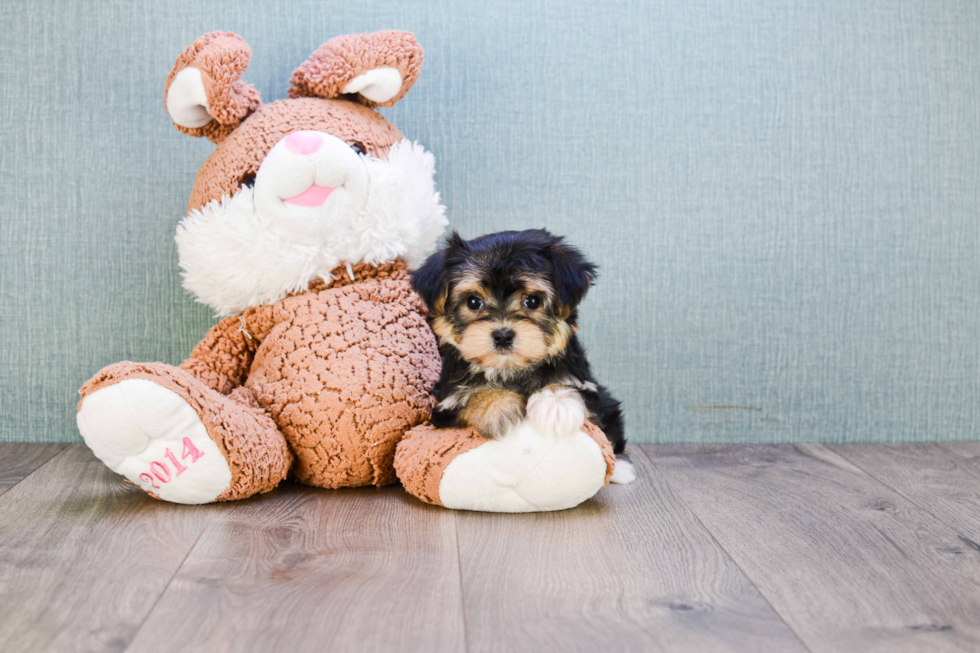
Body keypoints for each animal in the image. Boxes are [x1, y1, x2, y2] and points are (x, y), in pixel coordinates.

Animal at [410, 227, 632, 482]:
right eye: (473, 302)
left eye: (532, 301)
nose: (503, 335)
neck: (511, 370)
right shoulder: (444, 406)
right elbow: (471, 396)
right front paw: (495, 406)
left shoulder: (587, 384)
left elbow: (575, 388)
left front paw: (556, 403)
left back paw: (621, 468)